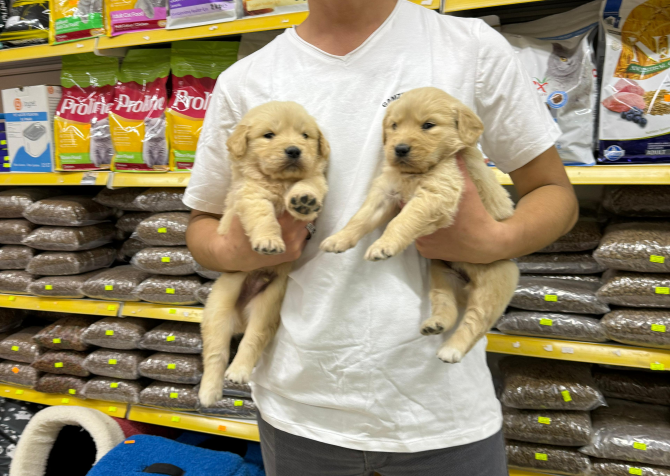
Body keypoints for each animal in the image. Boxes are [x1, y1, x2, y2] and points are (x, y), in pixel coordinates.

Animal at [200, 100, 330, 406]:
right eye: (269, 135)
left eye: (305, 136)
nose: (294, 150)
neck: (279, 182)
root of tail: (240, 319)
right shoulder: (250, 196)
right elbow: (263, 217)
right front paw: (269, 241)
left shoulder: (316, 180)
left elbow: (308, 184)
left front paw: (303, 201)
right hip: (218, 311)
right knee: (215, 354)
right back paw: (209, 392)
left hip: (267, 306)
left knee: (252, 339)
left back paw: (238, 371)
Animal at [322, 87, 524, 362]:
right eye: (394, 126)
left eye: (428, 125)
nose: (399, 148)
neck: (414, 174)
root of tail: (467, 286)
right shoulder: (385, 193)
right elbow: (360, 218)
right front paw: (339, 239)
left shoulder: (437, 193)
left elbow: (402, 220)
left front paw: (383, 245)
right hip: (440, 273)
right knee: (446, 304)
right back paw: (436, 323)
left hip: (494, 282)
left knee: (476, 321)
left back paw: (453, 348)